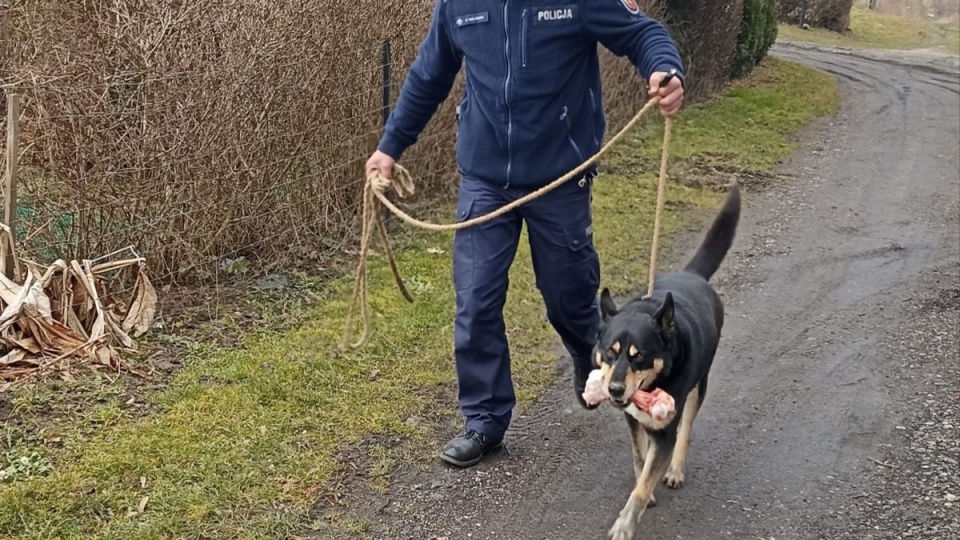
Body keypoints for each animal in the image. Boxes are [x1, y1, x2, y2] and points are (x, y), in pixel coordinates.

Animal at [592, 182, 744, 540]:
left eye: (640, 356)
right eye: (610, 351)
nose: (615, 390)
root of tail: (691, 275)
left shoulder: (665, 432)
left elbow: (644, 481)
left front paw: (625, 523)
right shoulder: (633, 420)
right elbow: (639, 460)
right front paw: (644, 488)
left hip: (698, 386)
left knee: (686, 428)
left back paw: (675, 470)